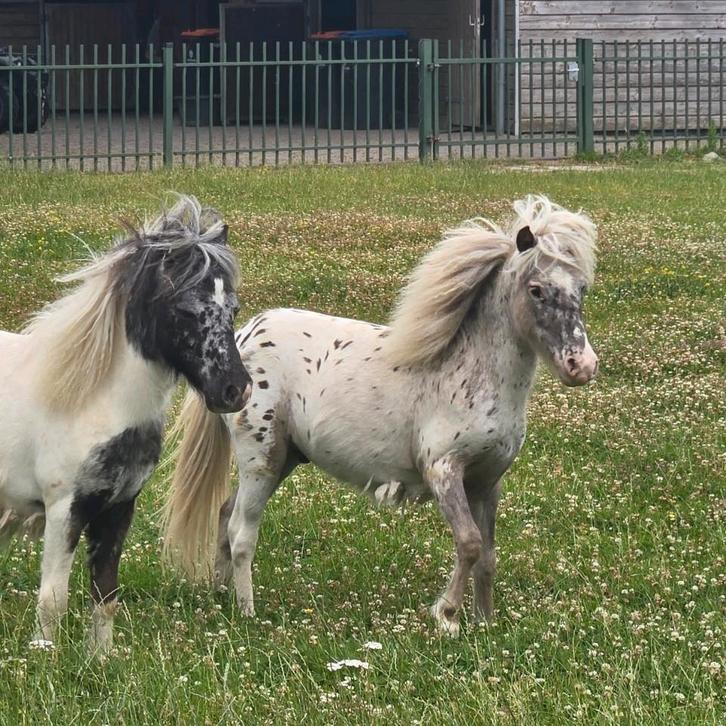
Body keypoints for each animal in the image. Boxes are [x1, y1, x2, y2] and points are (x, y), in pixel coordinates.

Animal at [0, 195, 251, 654]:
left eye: (233, 309)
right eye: (186, 309)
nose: (235, 391)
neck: (91, 401)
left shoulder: (118, 508)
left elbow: (105, 596)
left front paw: (99, 659)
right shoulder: (65, 510)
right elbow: (53, 599)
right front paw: (48, 658)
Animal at [163, 195, 599, 636]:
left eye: (581, 288)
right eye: (536, 290)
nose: (582, 366)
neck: (470, 369)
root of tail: (243, 337)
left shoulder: (487, 482)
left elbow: (489, 555)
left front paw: (485, 622)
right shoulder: (443, 472)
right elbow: (470, 544)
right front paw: (447, 616)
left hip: (285, 459)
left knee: (225, 514)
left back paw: (222, 597)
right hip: (261, 461)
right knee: (241, 532)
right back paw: (248, 613)